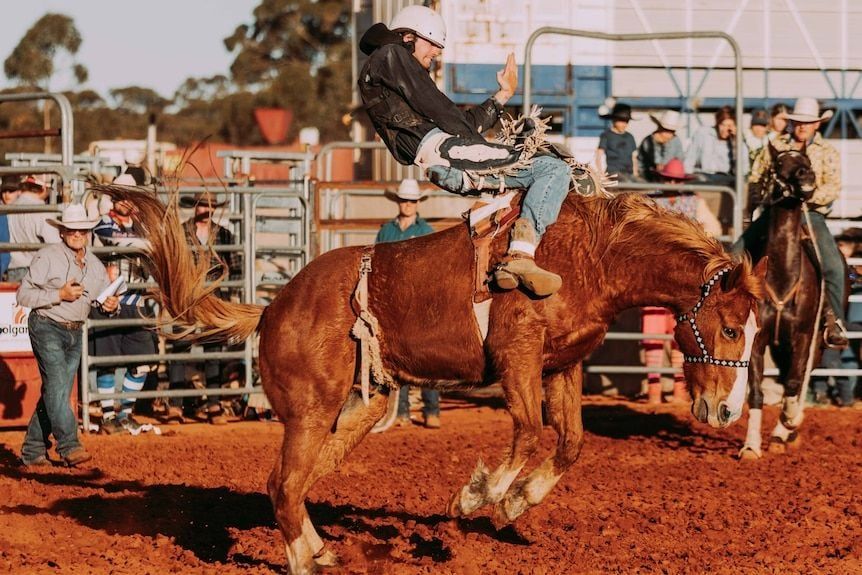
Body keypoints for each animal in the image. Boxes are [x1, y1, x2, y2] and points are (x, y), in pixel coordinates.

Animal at [740, 143, 828, 460]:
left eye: (808, 160)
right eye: (779, 163)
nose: (806, 175)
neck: (781, 278)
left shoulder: (804, 337)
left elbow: (793, 383)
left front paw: (789, 421)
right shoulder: (757, 339)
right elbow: (756, 393)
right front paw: (751, 445)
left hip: (817, 345)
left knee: (799, 378)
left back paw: (788, 428)